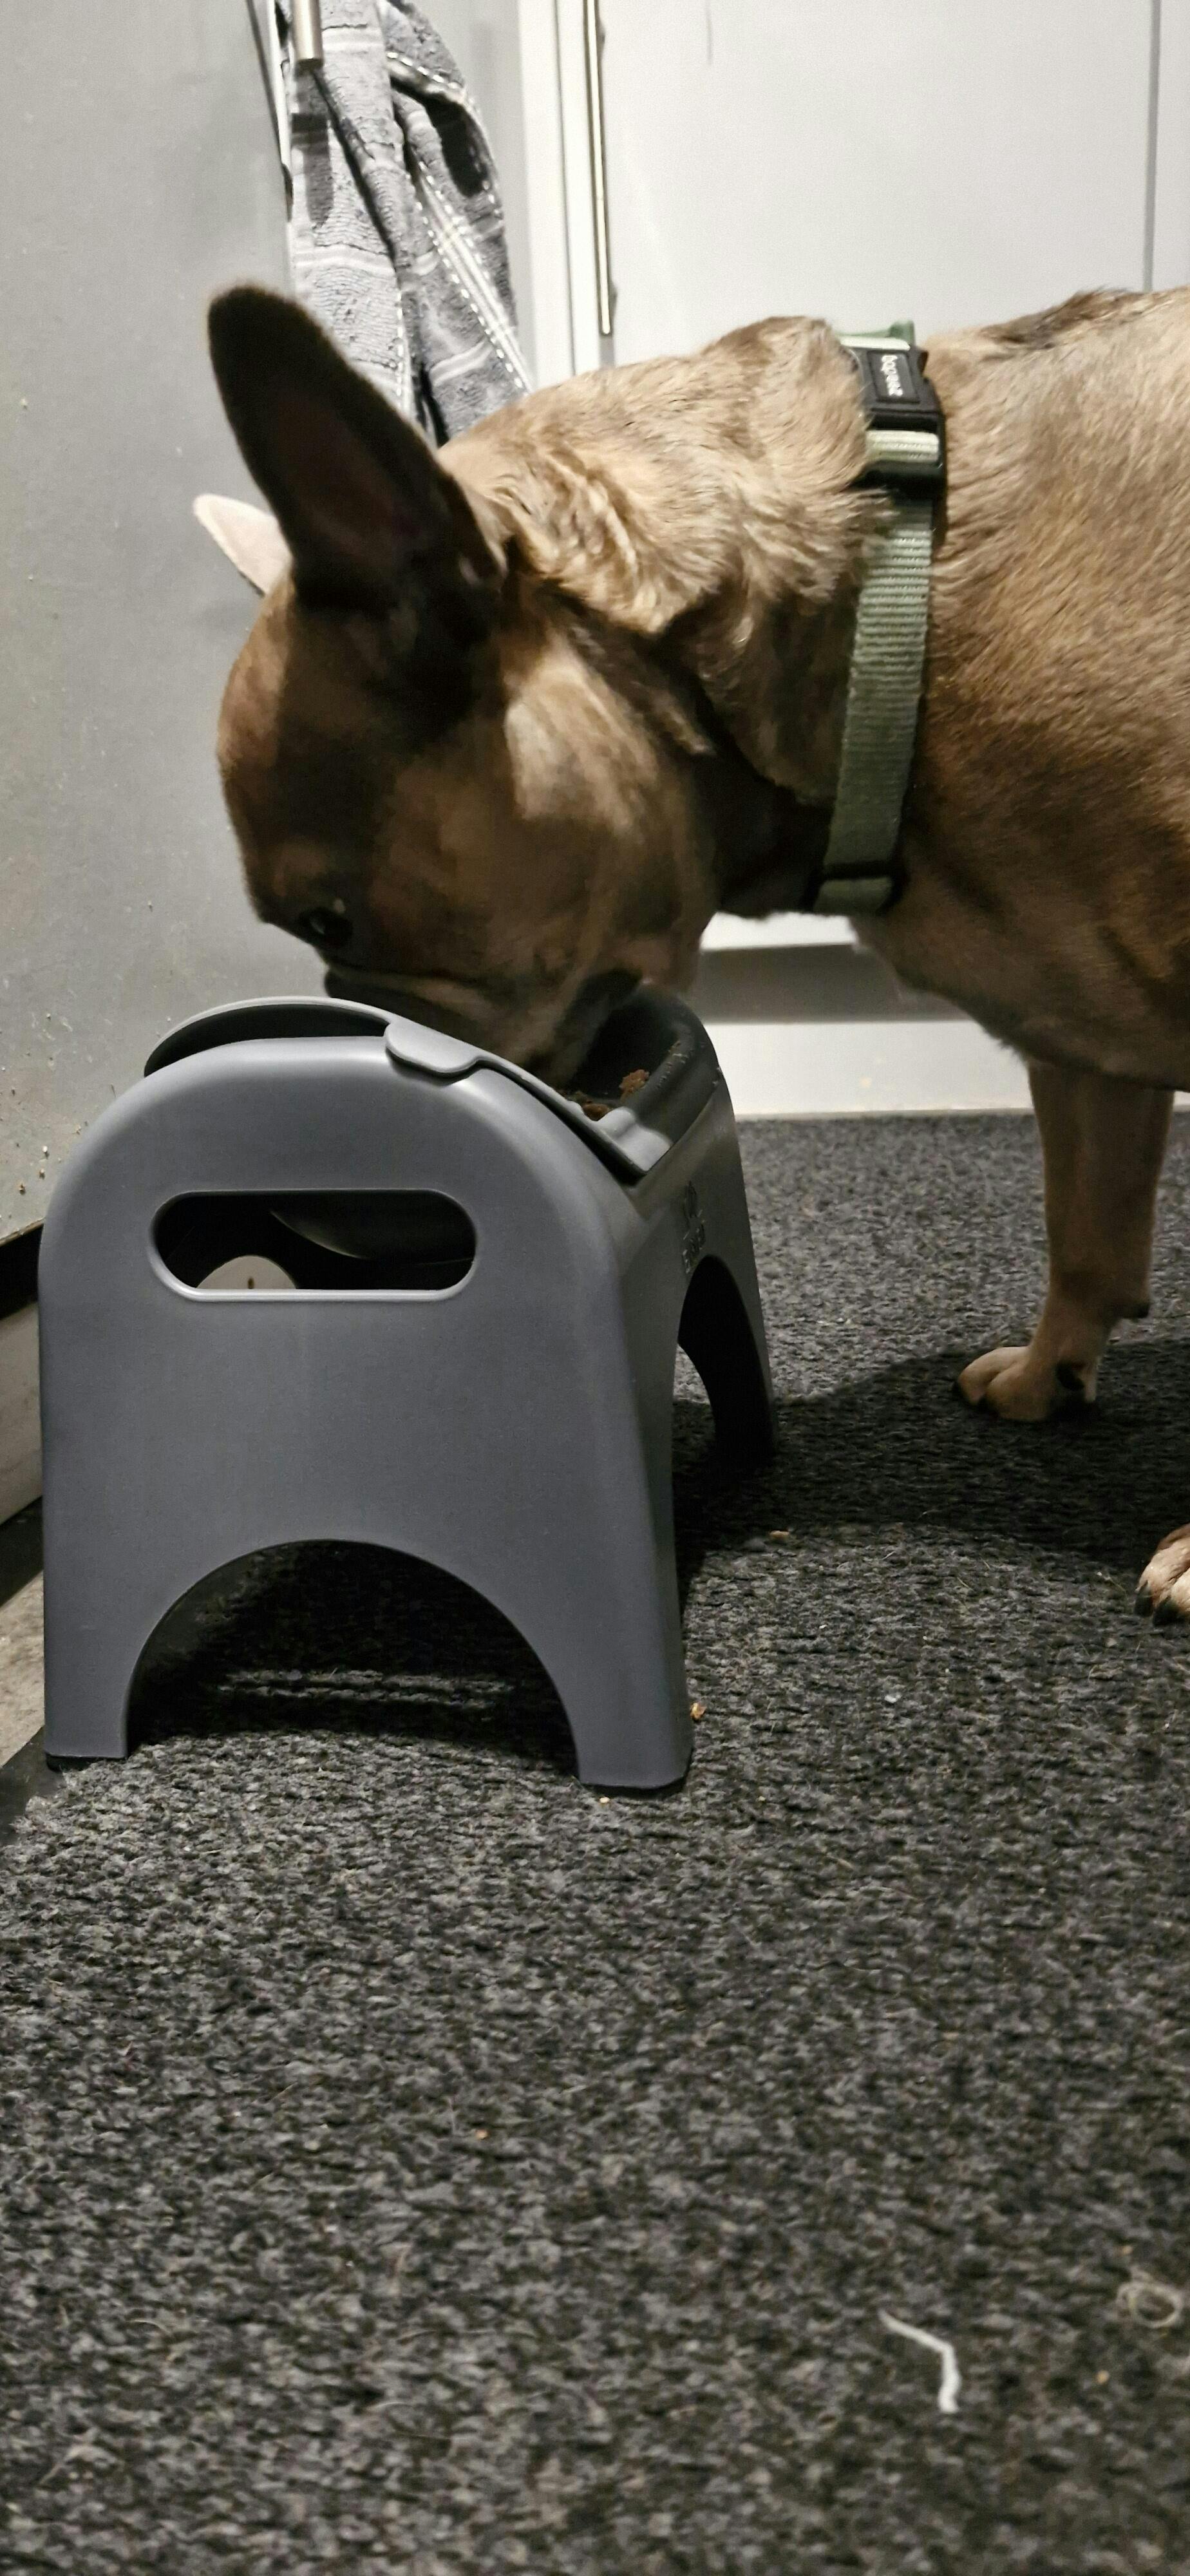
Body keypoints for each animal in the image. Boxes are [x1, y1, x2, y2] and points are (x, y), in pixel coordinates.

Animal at [199, 281, 1190, 1617]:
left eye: (329, 925)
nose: (337, 1008)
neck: (889, 615)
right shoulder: (1077, 1026)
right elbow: (1084, 1228)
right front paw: (1047, 1373)